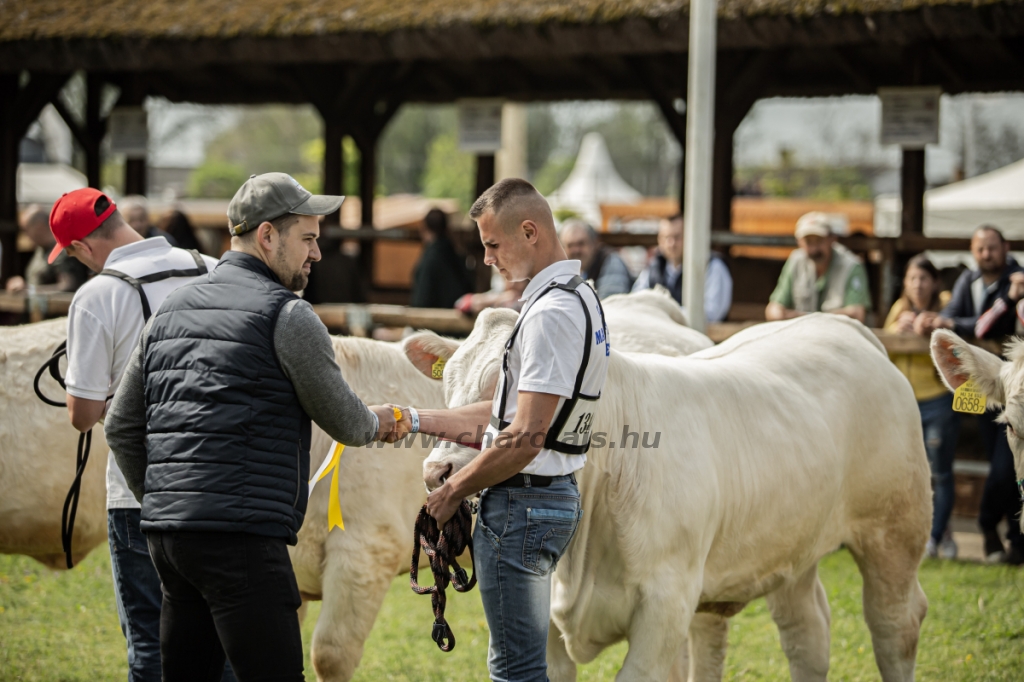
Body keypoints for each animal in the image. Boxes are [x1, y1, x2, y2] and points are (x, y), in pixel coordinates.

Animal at [403, 311, 933, 679]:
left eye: (509, 387)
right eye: (448, 384)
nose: (435, 472)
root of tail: (839, 324)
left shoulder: (666, 605)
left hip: (894, 532)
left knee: (895, 625)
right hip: (793, 550)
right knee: (808, 636)